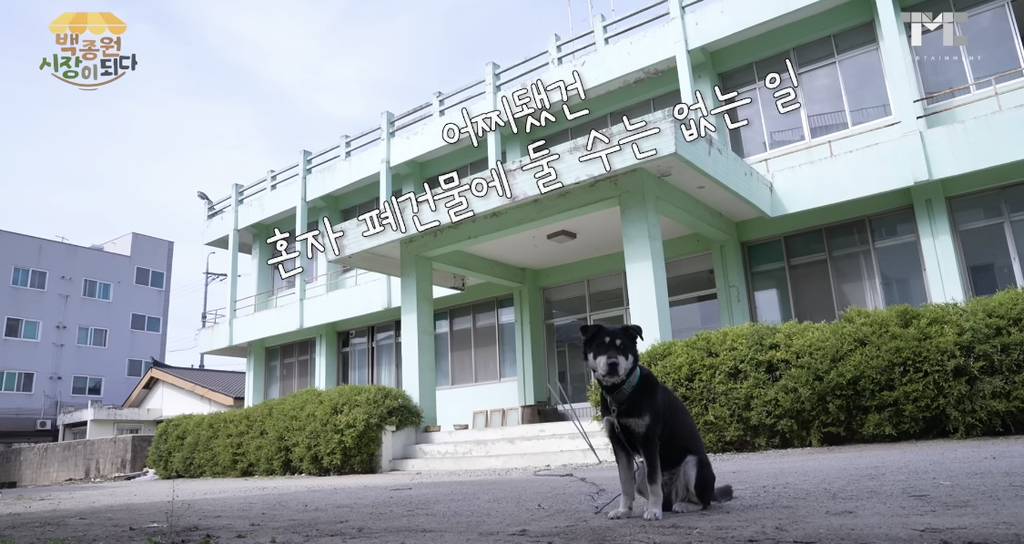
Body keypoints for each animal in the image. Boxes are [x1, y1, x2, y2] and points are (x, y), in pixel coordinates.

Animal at [581, 325, 733, 522]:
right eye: (600, 345)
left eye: (622, 347)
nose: (613, 363)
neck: (622, 394)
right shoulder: (619, 445)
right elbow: (625, 483)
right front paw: (624, 510)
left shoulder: (649, 441)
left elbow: (653, 481)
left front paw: (654, 511)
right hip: (640, 470)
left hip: (693, 462)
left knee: (702, 502)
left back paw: (682, 505)